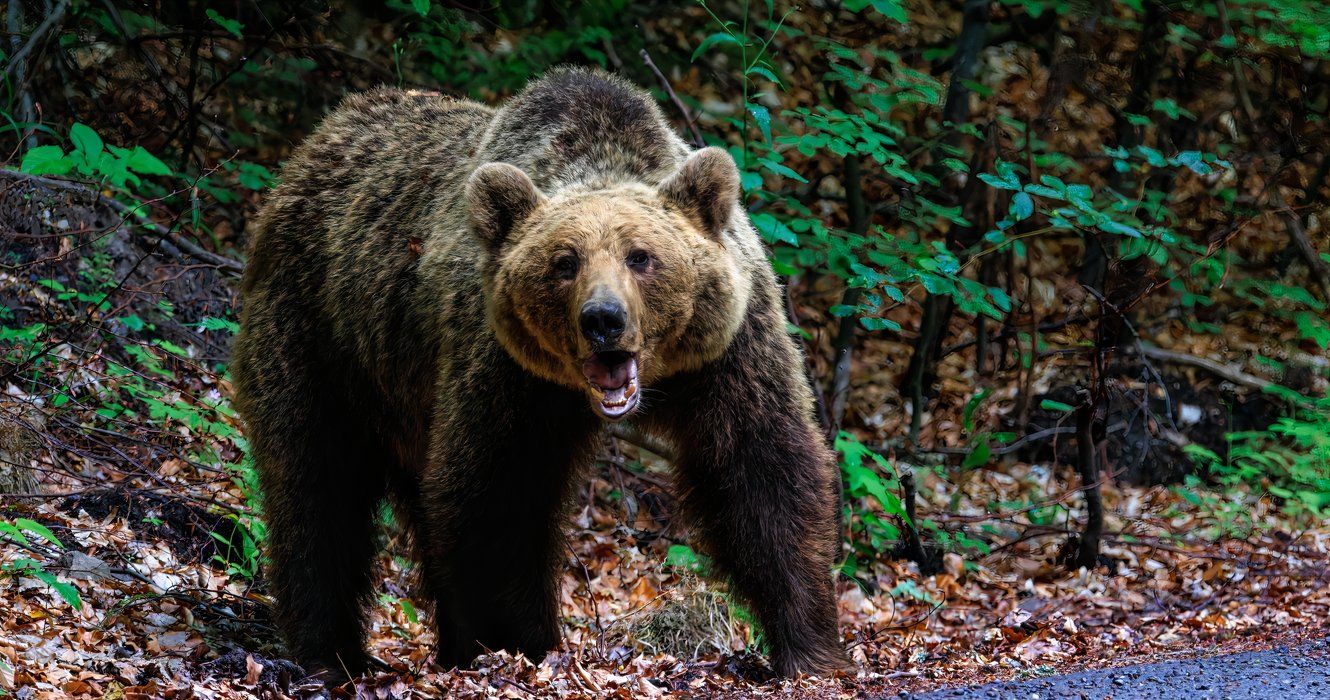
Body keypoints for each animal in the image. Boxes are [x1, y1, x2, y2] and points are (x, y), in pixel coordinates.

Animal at [232, 64, 845, 681]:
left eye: (641, 256)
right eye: (564, 262)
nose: (603, 319)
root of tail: (315, 144)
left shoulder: (727, 353)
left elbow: (763, 471)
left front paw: (808, 646)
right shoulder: (507, 372)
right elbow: (499, 496)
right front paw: (522, 644)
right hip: (321, 338)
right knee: (316, 486)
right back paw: (331, 652)